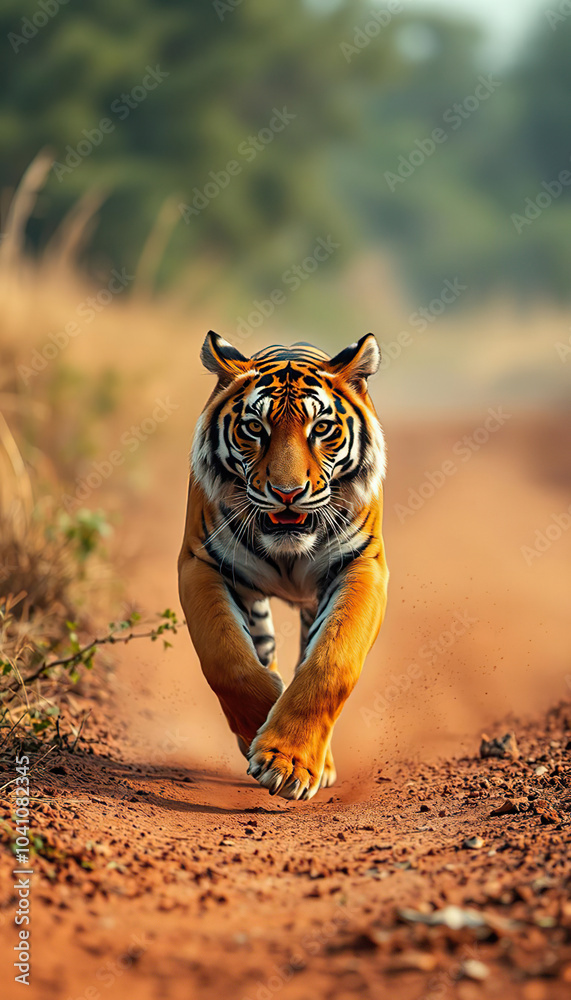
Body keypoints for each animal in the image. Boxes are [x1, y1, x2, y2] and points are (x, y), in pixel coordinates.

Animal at [178, 331, 389, 801]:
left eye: (321, 428)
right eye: (255, 428)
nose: (287, 493)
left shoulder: (362, 565)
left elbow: (331, 663)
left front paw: (289, 761)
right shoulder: (201, 563)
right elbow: (227, 659)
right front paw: (262, 723)